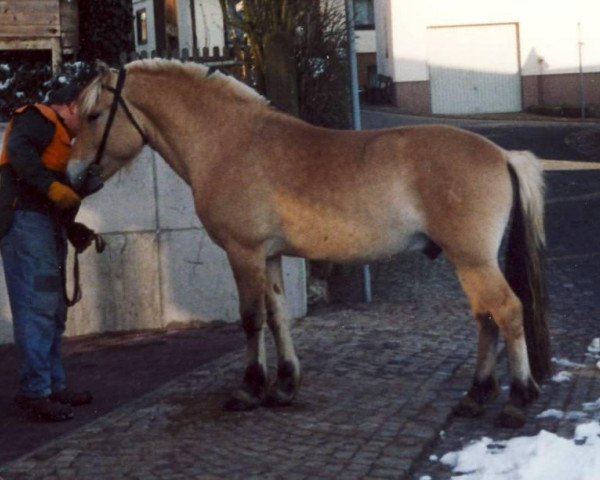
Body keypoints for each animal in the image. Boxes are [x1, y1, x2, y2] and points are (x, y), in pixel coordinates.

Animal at [68, 59, 552, 428]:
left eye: (93, 116)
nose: (74, 176)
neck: (229, 141)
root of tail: (502, 155)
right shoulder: (270, 257)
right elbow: (278, 316)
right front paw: (284, 385)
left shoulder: (243, 253)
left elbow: (251, 319)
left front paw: (249, 389)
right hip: (470, 261)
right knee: (486, 317)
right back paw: (476, 395)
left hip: (473, 259)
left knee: (507, 311)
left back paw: (517, 399)